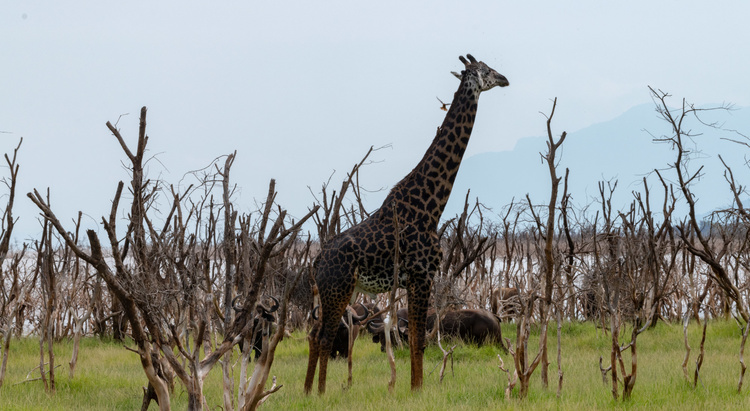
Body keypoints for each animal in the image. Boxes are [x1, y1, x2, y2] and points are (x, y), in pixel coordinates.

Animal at [306, 54, 512, 396]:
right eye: (485, 71)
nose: (505, 79)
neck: (431, 206)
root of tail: (318, 259)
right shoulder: (421, 274)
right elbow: (418, 341)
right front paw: (417, 390)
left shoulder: (415, 280)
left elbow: (417, 339)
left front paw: (415, 387)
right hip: (338, 287)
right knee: (323, 336)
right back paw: (319, 393)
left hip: (329, 291)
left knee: (313, 334)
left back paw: (309, 391)